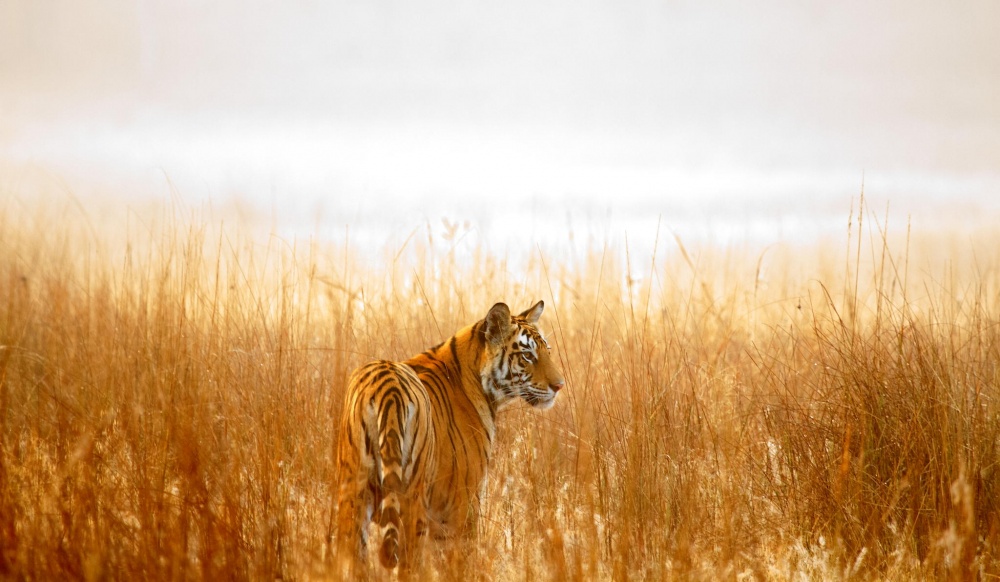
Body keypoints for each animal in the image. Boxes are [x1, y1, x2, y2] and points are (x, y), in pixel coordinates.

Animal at [334, 304, 564, 572]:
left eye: (547, 351)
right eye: (527, 356)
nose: (559, 386)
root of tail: (388, 386)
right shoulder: (462, 504)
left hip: (352, 492)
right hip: (412, 499)